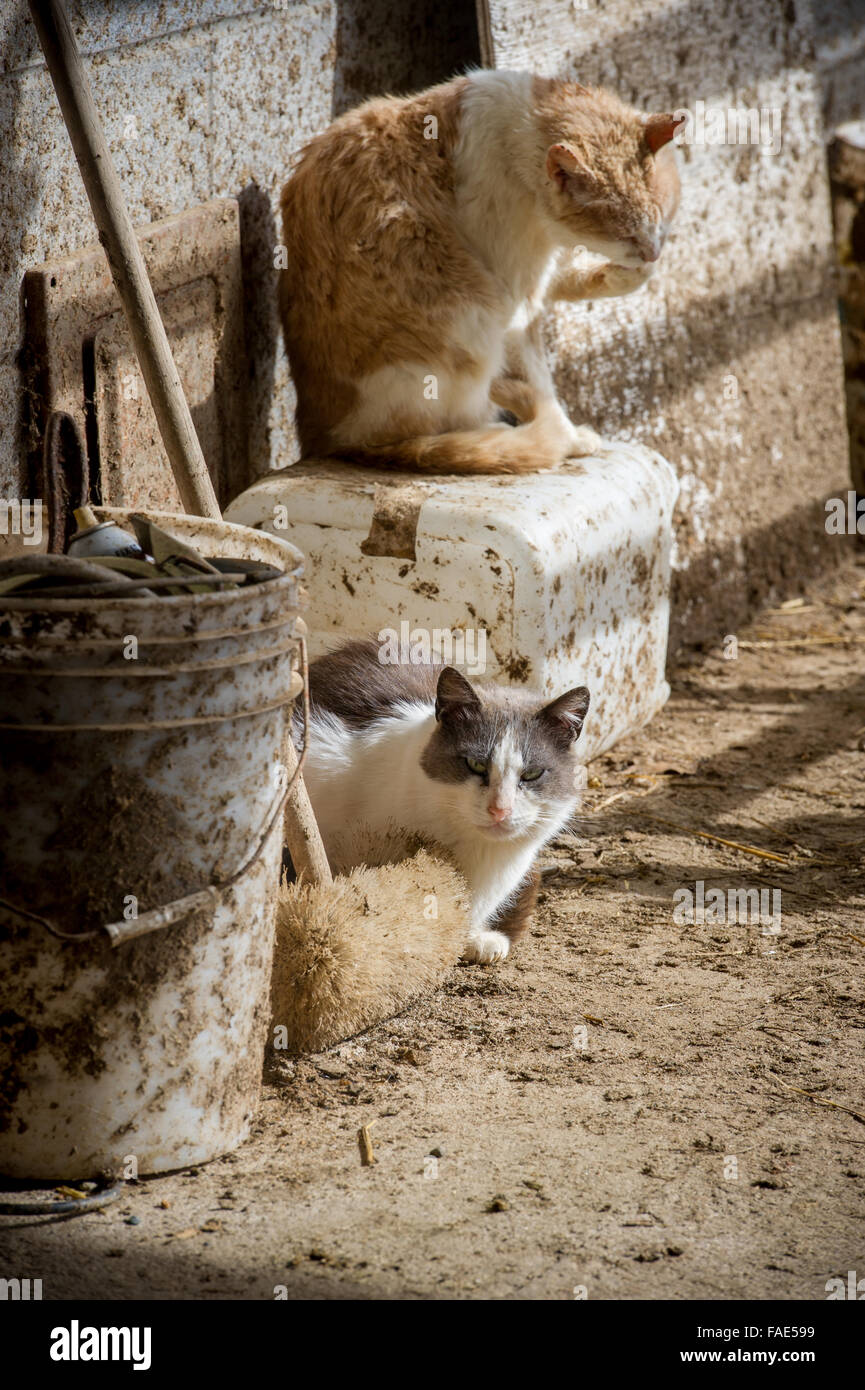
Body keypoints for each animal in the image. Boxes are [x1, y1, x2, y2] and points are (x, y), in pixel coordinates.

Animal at [280, 69, 681, 472]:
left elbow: (578, 278)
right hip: (472, 319)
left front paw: (631, 275)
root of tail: (324, 441)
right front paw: (571, 438)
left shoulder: (540, 275)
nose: (653, 252)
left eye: (661, 219)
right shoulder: (516, 301)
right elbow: (543, 384)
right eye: (627, 234)